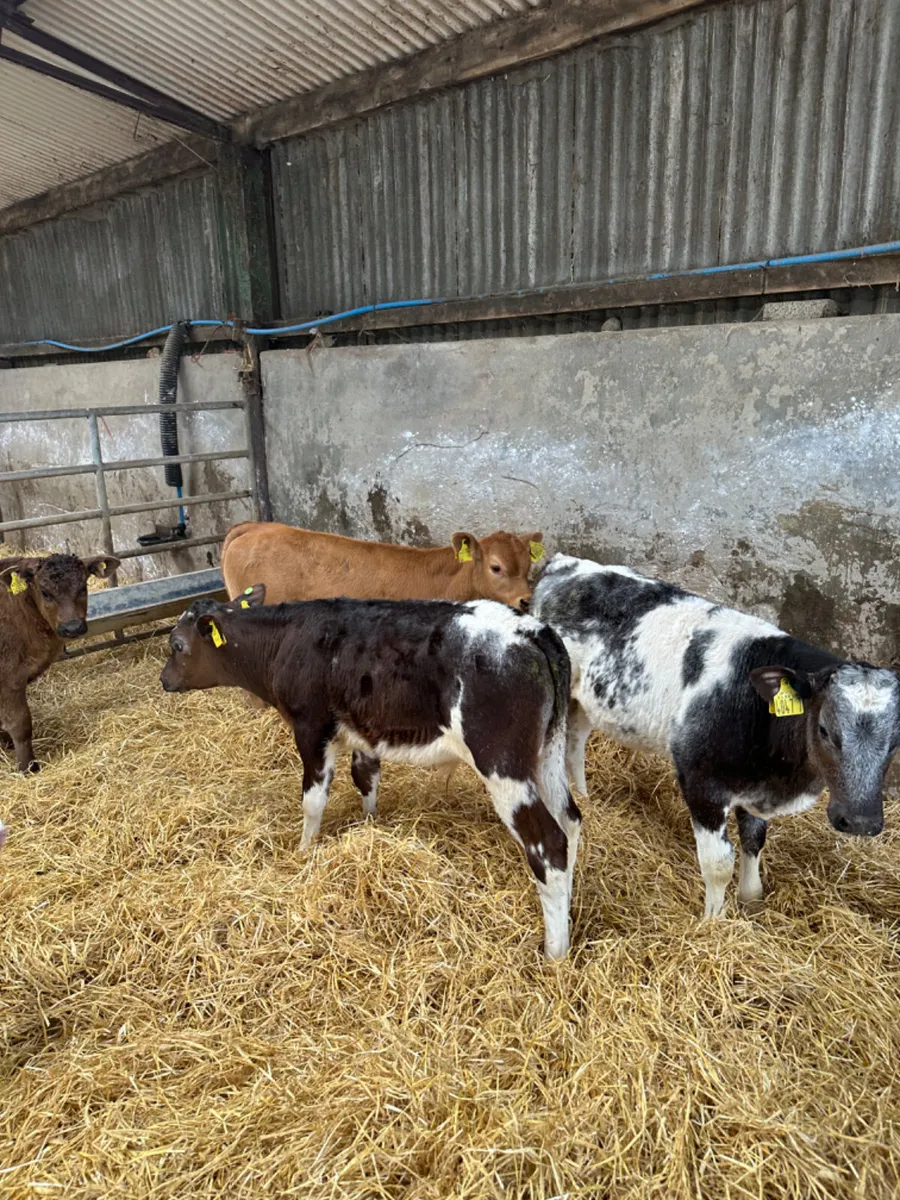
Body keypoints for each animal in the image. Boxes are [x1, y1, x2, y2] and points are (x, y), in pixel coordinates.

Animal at [0, 553, 120, 772]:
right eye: (45, 593)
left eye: (83, 587)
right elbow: (20, 724)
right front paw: (28, 768)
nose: (72, 627)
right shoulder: (9, 677)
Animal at [160, 586, 581, 959]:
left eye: (177, 645)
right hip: (548, 752)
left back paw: (555, 951)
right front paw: (370, 828)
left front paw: (303, 851)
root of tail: (531, 630)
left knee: (548, 843)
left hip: (502, 764)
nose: (164, 680)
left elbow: (313, 800)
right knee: (571, 820)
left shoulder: (311, 727)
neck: (288, 640)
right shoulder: (364, 731)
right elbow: (366, 778)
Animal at [531, 555, 900, 918]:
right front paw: (714, 921)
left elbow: (754, 840)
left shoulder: (755, 786)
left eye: (896, 741)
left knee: (576, 743)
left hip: (585, 701)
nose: (860, 821)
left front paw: (751, 899)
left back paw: (586, 796)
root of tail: (565, 563)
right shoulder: (701, 784)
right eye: (824, 729)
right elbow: (719, 863)